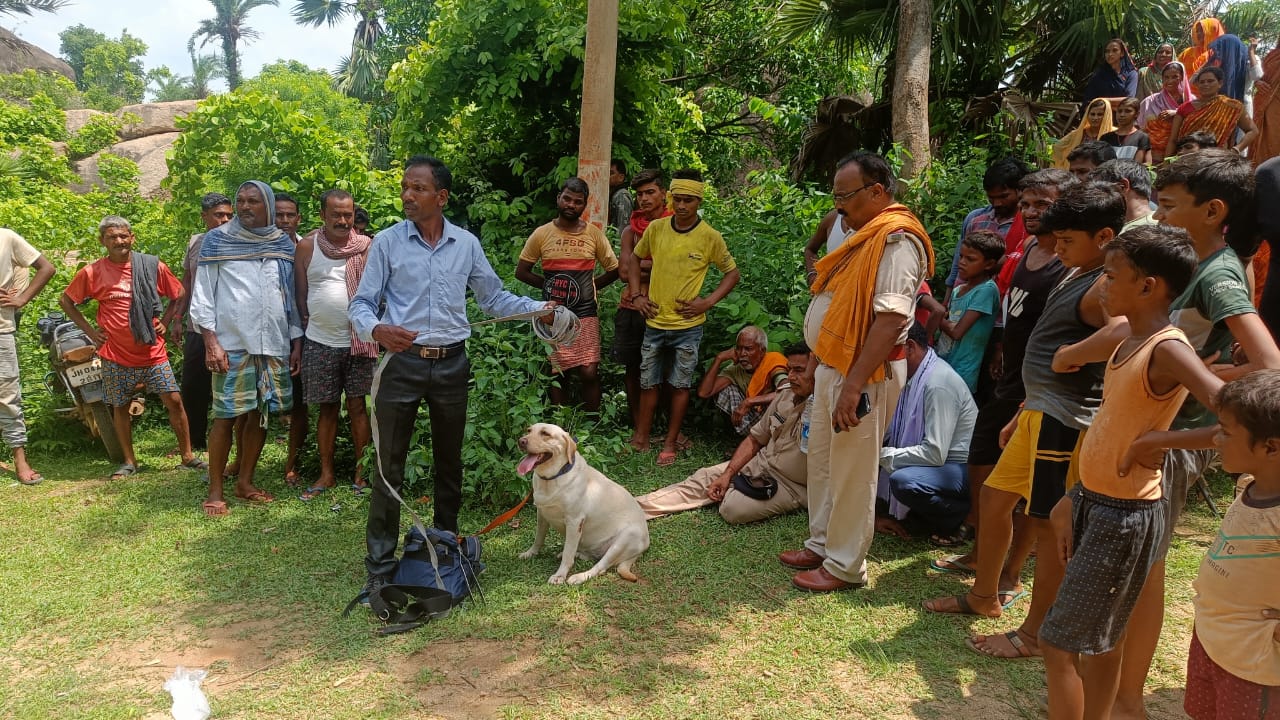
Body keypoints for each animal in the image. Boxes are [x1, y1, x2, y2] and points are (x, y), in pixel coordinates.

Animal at [512, 420, 645, 584]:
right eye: (529, 430)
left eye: (545, 433)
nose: (521, 441)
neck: (553, 478)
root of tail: (646, 544)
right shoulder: (541, 514)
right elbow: (539, 539)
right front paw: (531, 553)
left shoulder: (574, 522)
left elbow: (568, 552)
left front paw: (560, 575)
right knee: (589, 556)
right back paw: (578, 554)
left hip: (624, 540)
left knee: (599, 567)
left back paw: (579, 576)